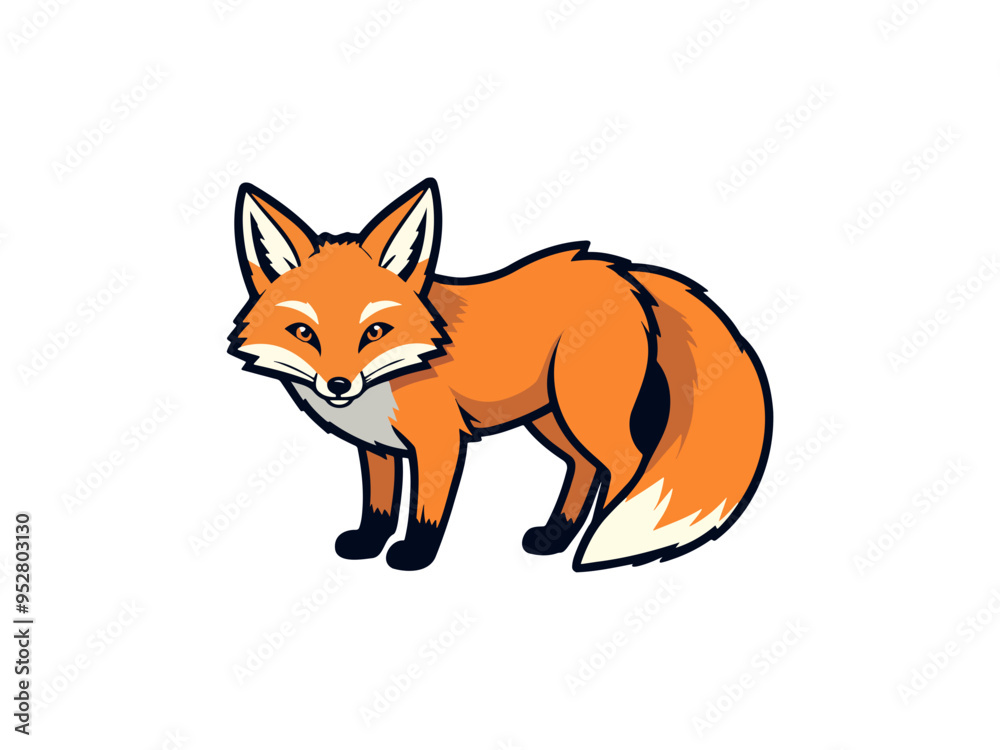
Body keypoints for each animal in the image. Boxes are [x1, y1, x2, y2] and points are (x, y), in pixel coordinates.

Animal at [228, 178, 772, 572]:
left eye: (376, 331)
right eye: (303, 332)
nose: (338, 385)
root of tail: (622, 272)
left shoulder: (440, 442)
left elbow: (426, 509)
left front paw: (414, 555)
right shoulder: (377, 447)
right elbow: (379, 504)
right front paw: (367, 543)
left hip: (585, 412)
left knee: (627, 465)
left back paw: (591, 548)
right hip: (550, 418)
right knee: (586, 468)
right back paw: (555, 537)